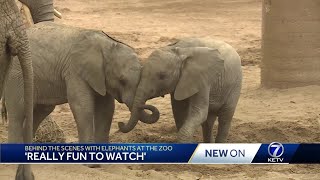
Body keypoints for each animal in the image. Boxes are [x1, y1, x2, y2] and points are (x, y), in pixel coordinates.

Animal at [2, 22, 158, 148]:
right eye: (122, 80)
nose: (121, 124)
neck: (107, 45)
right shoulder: (75, 71)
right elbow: (83, 107)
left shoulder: (101, 78)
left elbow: (106, 110)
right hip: (16, 74)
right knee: (19, 110)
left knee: (41, 110)